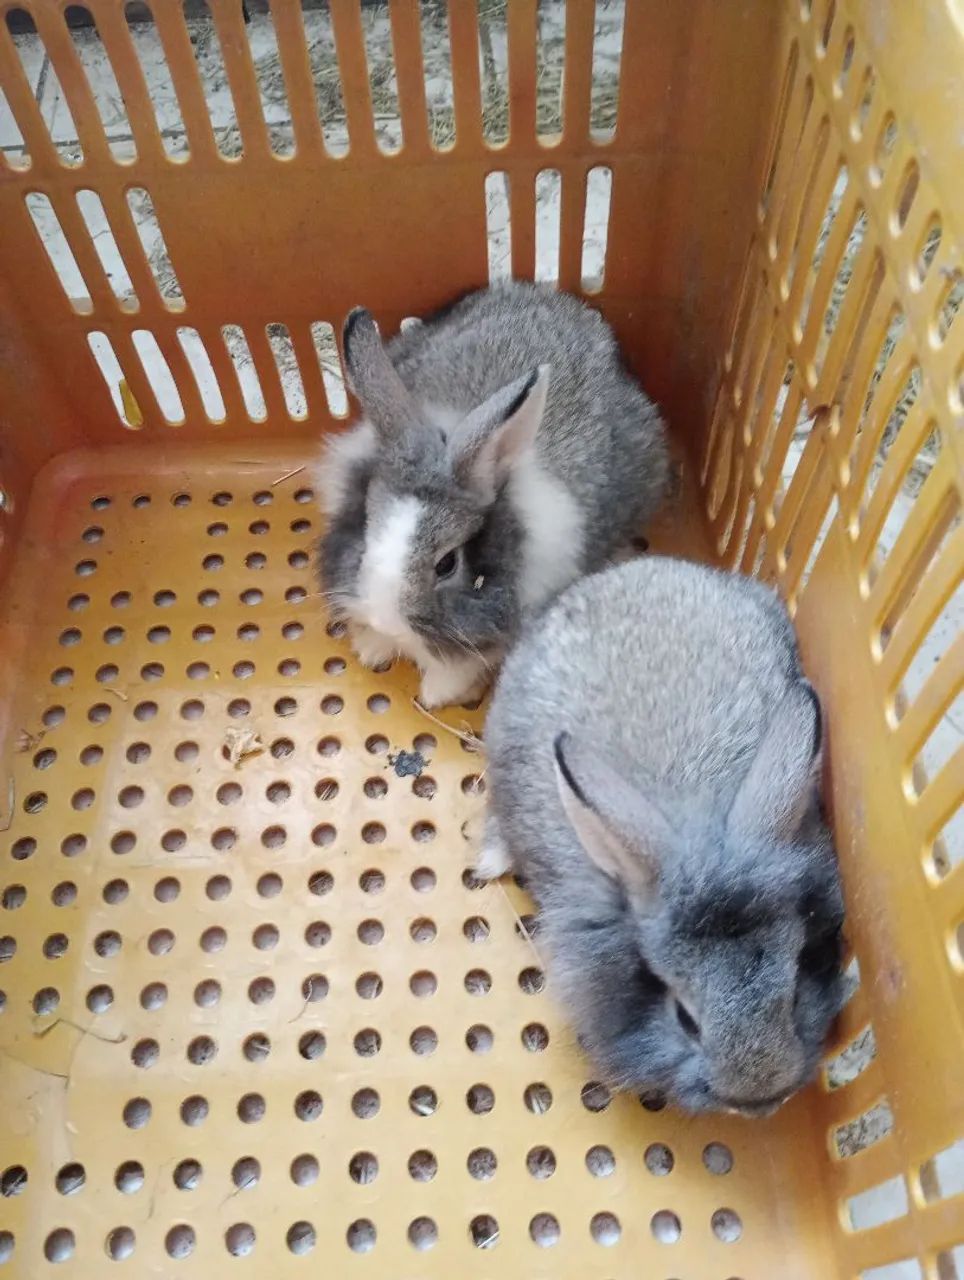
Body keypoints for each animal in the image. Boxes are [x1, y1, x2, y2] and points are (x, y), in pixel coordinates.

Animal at [315, 282, 668, 708]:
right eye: (366, 533)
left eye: (447, 563)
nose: (385, 619)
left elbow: (457, 670)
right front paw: (373, 648)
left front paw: (436, 694)